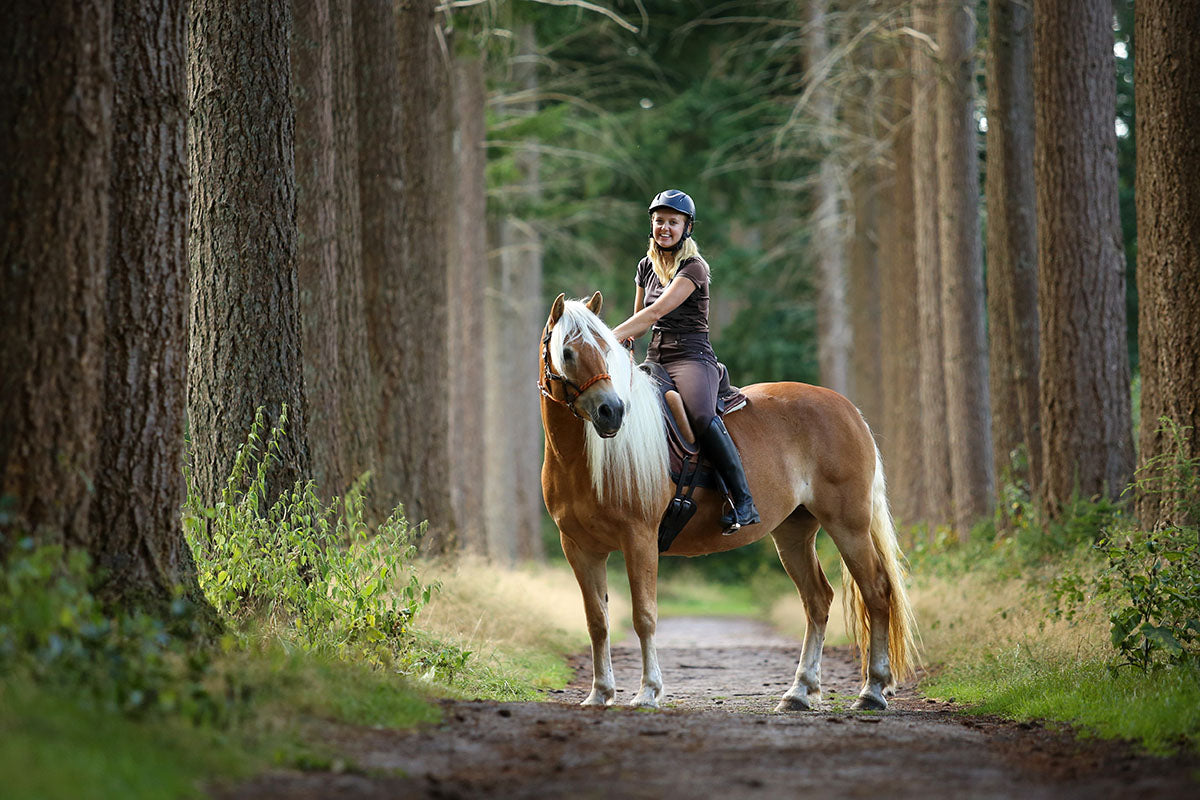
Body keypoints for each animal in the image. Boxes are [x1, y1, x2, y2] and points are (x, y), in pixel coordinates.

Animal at [542, 293, 916, 714]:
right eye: (567, 352)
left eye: (606, 351)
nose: (612, 412)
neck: (583, 460)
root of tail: (848, 410)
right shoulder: (579, 548)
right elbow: (598, 621)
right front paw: (599, 693)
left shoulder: (639, 540)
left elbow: (644, 616)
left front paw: (649, 692)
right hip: (794, 533)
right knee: (818, 600)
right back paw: (799, 692)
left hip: (848, 525)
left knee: (877, 591)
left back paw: (872, 690)